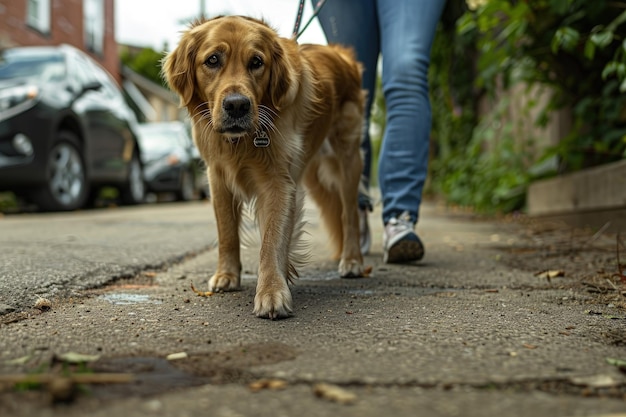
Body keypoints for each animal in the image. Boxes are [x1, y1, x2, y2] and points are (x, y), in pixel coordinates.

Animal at [163, 14, 364, 316]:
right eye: (212, 60)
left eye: (256, 62)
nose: (237, 106)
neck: (240, 142)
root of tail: (342, 55)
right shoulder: (217, 175)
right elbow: (226, 231)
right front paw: (227, 275)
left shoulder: (278, 183)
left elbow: (271, 240)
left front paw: (272, 291)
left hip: (348, 158)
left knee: (350, 213)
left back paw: (352, 260)